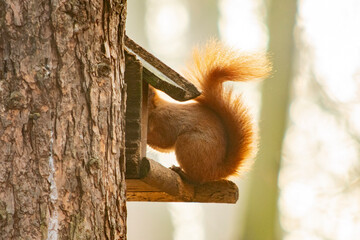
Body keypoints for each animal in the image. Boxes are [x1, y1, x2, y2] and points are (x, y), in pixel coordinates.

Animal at [146, 40, 270, 183]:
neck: (155, 107)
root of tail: (216, 171)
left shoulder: (165, 120)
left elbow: (163, 140)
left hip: (190, 143)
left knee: (197, 179)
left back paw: (182, 172)